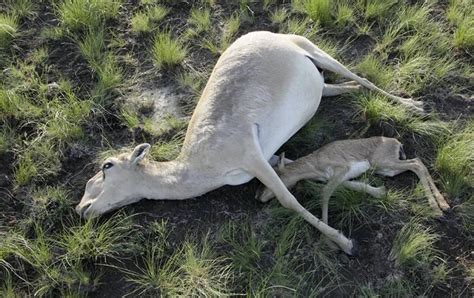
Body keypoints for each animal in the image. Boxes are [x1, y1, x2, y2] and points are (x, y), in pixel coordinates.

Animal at [77, 31, 422, 255]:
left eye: (106, 166)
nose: (82, 209)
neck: (199, 165)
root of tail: (259, 33)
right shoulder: (270, 159)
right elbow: (309, 173)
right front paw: (375, 191)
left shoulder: (253, 157)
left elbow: (288, 199)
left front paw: (345, 242)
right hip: (319, 82)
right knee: (339, 87)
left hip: (315, 49)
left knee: (360, 77)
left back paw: (414, 105)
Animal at [258, 136, 450, 225]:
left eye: (275, 175)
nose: (259, 197)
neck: (315, 164)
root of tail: (396, 142)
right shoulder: (338, 178)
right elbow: (356, 186)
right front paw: (380, 192)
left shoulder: (341, 170)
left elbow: (325, 193)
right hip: (387, 168)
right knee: (418, 162)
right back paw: (443, 206)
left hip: (384, 163)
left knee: (416, 164)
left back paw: (438, 209)